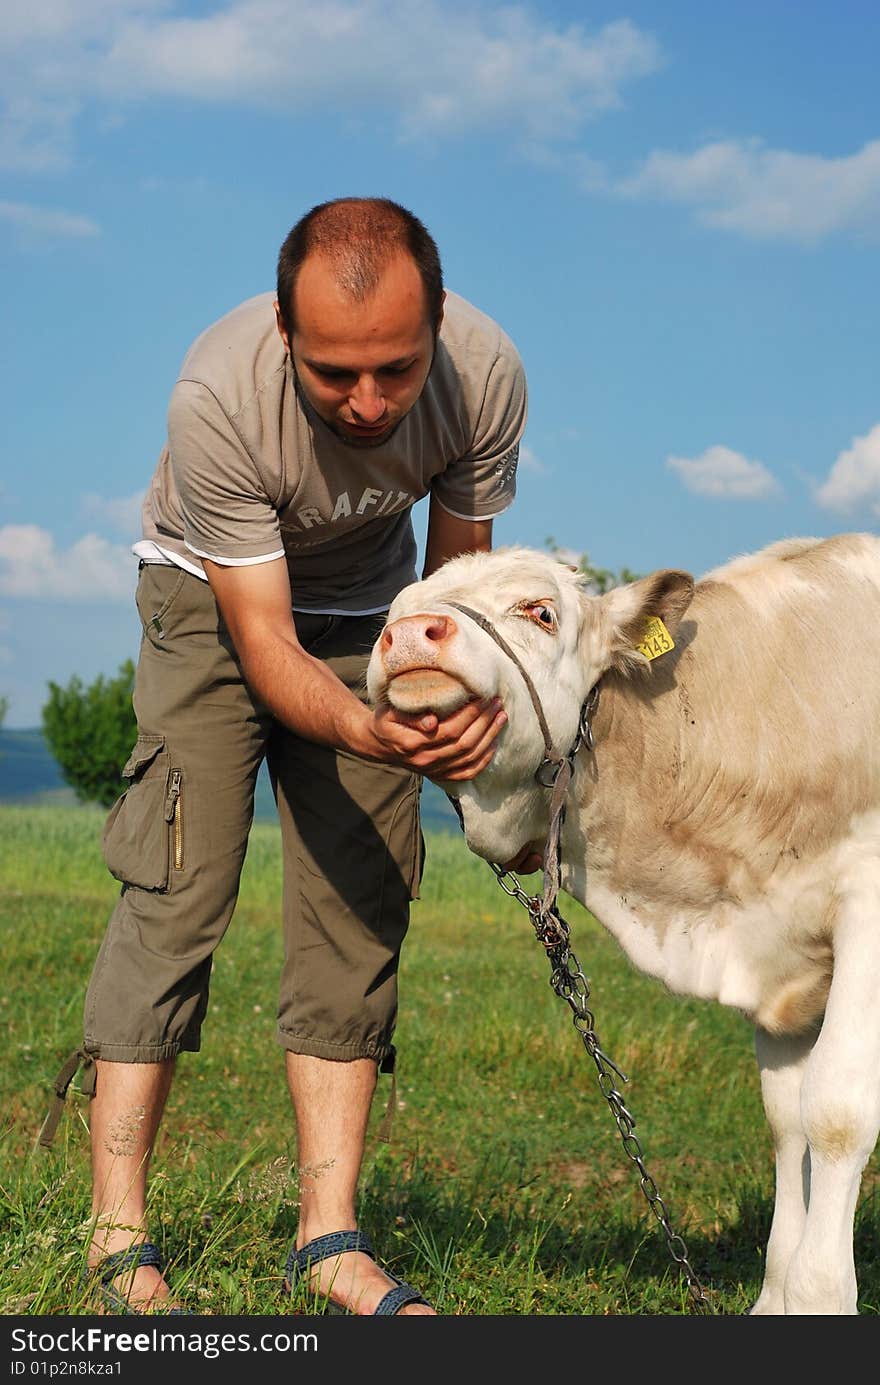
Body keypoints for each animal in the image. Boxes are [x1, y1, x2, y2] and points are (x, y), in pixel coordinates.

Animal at [365, 531, 880, 1318]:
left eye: (540, 610)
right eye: (393, 612)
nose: (413, 635)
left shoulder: (864, 907)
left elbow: (836, 1110)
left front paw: (820, 1294)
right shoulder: (778, 951)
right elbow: (787, 1119)